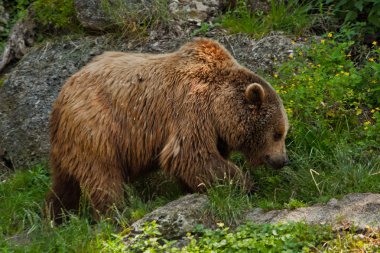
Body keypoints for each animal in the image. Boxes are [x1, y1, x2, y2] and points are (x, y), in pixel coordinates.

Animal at [48, 38, 290, 221]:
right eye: (278, 133)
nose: (282, 160)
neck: (218, 107)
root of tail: (62, 96)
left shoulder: (212, 127)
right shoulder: (190, 110)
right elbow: (191, 155)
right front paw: (246, 185)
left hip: (70, 144)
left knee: (64, 184)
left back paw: (57, 217)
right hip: (97, 128)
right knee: (103, 177)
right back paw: (116, 213)